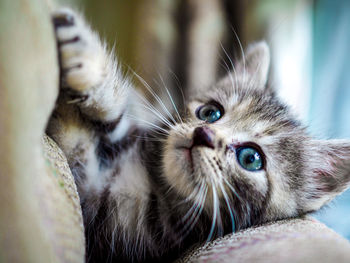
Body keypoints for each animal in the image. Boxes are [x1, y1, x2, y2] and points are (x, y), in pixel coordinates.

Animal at [47, 7, 350, 262]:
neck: (157, 185)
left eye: (250, 158)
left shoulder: (103, 215)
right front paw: (82, 54)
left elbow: (77, 145)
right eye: (210, 113)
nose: (203, 134)